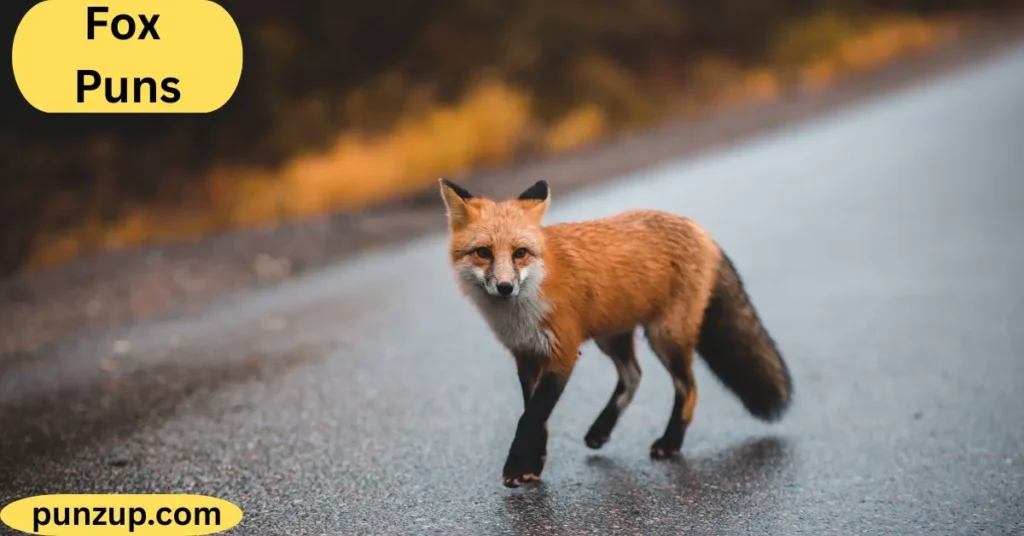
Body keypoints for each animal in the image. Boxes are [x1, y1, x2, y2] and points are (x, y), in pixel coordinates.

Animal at [438, 178, 793, 488]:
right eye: (483, 252)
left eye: (519, 253)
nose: (505, 287)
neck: (525, 307)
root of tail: (698, 229)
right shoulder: (526, 355)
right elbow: (536, 416)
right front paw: (533, 465)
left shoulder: (563, 353)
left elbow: (530, 417)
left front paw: (516, 468)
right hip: (612, 337)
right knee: (634, 376)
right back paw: (601, 430)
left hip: (665, 337)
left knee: (688, 388)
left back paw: (670, 442)